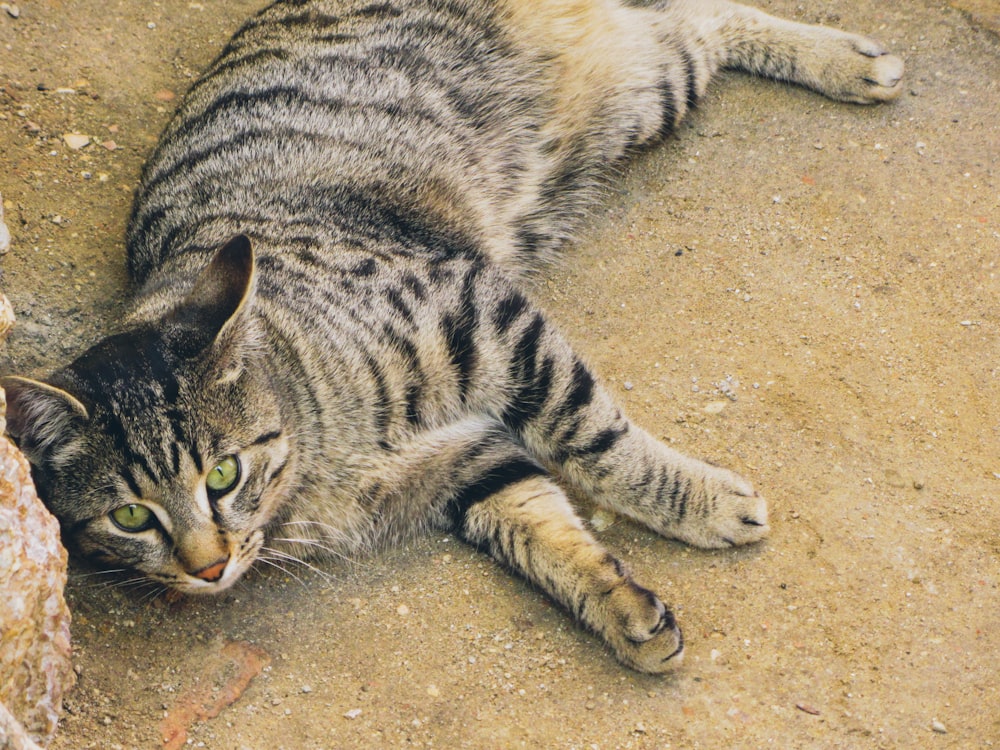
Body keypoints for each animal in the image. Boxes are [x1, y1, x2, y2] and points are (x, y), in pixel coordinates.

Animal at [1, 0, 908, 672]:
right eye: (130, 518)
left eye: (222, 474)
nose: (208, 566)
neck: (316, 462)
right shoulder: (467, 463)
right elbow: (541, 523)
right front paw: (620, 607)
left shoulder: (487, 314)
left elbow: (594, 442)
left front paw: (697, 499)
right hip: (645, 87)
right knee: (695, 20)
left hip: (643, 87)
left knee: (705, 12)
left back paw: (848, 59)